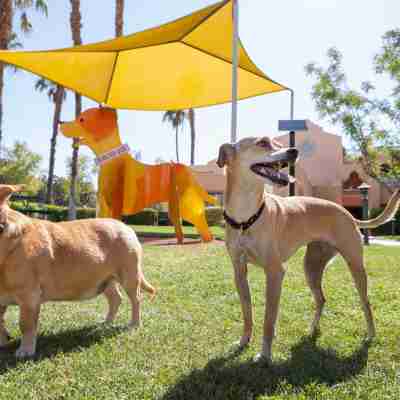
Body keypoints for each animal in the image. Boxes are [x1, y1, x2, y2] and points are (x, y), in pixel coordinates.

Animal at [0, 186, 155, 358]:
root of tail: (126, 227)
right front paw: (2, 342)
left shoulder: (29, 297)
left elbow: (26, 325)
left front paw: (25, 350)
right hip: (105, 280)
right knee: (116, 299)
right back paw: (106, 322)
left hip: (129, 277)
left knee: (136, 300)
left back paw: (134, 324)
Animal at [219, 137, 400, 362]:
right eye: (263, 142)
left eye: (278, 143)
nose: (294, 151)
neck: (246, 218)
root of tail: (347, 213)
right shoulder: (239, 272)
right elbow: (247, 313)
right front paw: (243, 341)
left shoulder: (275, 272)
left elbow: (269, 319)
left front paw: (265, 355)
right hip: (311, 267)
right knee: (321, 299)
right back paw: (313, 329)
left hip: (355, 266)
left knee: (366, 302)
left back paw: (371, 334)